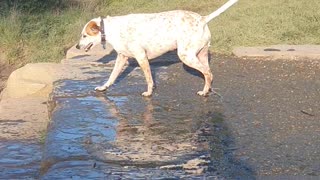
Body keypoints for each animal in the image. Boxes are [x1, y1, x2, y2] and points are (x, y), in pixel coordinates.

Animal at [77, 0, 238, 97]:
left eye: (84, 35)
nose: (77, 46)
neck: (111, 29)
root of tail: (202, 19)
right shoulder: (121, 58)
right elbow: (111, 77)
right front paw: (103, 88)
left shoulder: (141, 57)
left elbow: (149, 79)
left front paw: (149, 93)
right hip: (200, 55)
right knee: (208, 74)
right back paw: (207, 90)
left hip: (186, 56)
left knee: (208, 73)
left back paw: (204, 92)